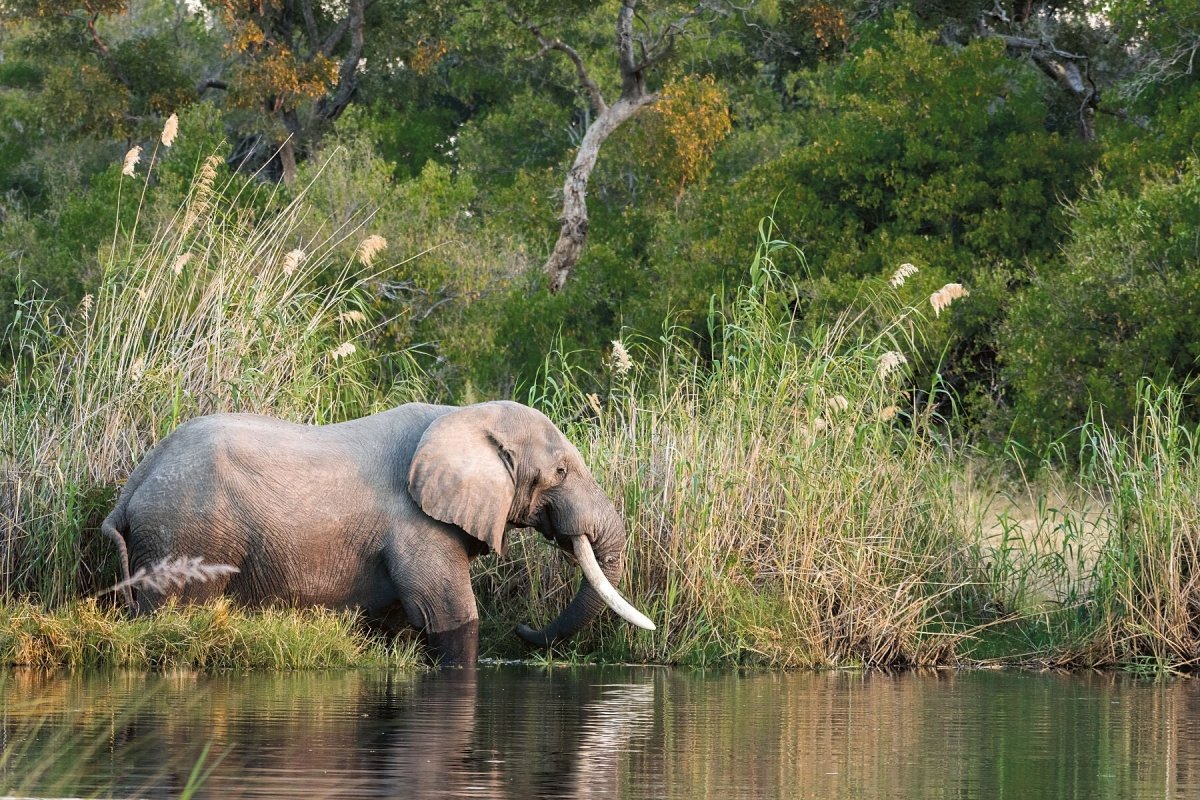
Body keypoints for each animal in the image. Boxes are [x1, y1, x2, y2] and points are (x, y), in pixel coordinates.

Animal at [100, 400, 657, 662]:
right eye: (559, 472)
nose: (523, 630)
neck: (462, 416)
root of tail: (130, 489)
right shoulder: (417, 525)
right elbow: (451, 615)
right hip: (184, 535)